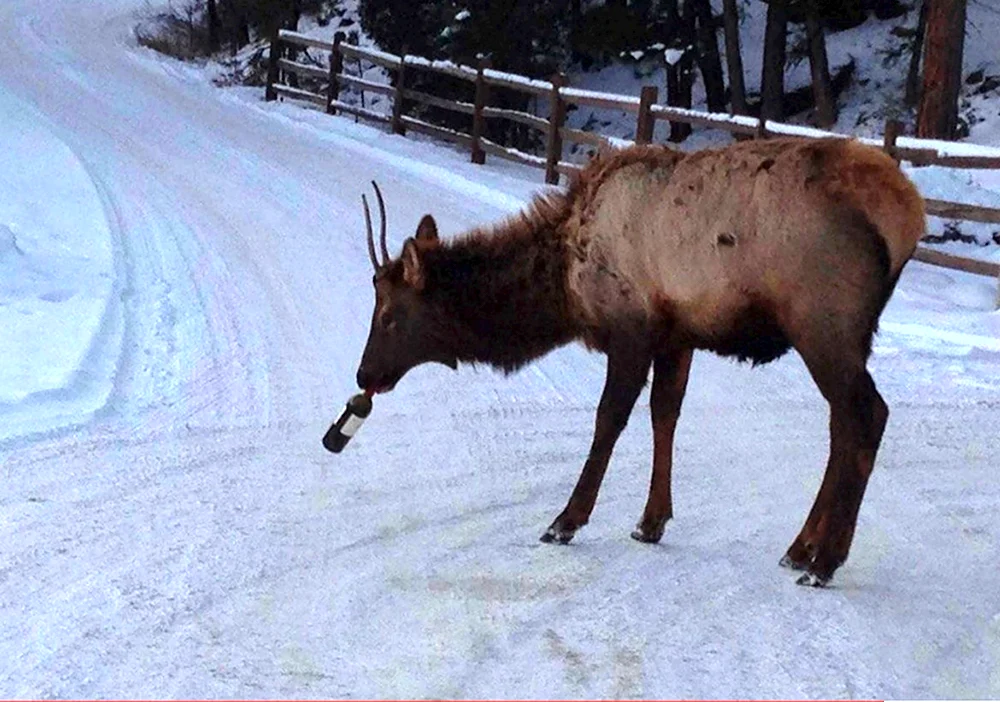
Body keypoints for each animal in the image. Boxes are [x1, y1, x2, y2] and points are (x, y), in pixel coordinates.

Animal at [356, 139, 924, 588]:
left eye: (389, 315)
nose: (364, 374)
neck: (565, 282)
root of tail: (909, 213)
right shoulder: (677, 335)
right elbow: (664, 414)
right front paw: (651, 521)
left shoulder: (630, 328)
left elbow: (609, 419)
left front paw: (566, 520)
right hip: (842, 335)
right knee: (842, 424)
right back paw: (801, 547)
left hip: (821, 322)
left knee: (867, 414)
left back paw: (824, 561)